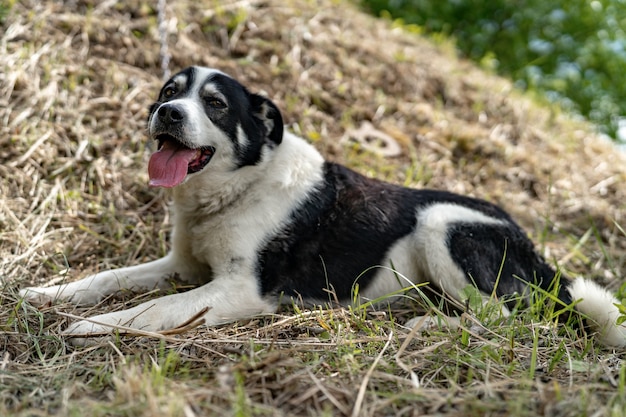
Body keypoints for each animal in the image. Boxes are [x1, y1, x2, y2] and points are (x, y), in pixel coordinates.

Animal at [19, 66, 624, 344]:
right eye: (170, 90)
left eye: (214, 104)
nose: (167, 112)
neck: (243, 183)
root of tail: (540, 255)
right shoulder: (181, 265)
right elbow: (109, 278)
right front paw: (50, 294)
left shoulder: (240, 291)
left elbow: (155, 309)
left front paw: (93, 325)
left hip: (441, 222)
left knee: (504, 317)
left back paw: (425, 327)